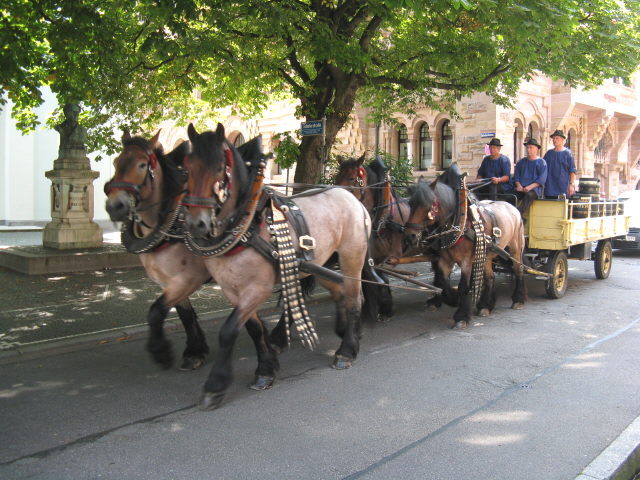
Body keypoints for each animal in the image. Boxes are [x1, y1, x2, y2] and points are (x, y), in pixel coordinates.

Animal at [104, 131, 211, 371]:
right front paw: (195, 351)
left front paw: (161, 351)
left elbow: (155, 311)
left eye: (142, 165)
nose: (115, 206)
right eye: (115, 162)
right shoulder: (170, 280)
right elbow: (185, 314)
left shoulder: (190, 278)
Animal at [182, 123, 372, 410]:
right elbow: (253, 328)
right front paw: (266, 369)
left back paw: (346, 351)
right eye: (187, 167)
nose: (197, 223)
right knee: (343, 294)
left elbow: (228, 331)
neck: (248, 223)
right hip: (323, 264)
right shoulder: (232, 290)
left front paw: (216, 385)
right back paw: (349, 334)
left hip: (352, 257)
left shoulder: (257, 289)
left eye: (219, 168)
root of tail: (353, 200)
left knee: (353, 299)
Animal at [335, 155, 411, 320]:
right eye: (336, 177)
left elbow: (378, 278)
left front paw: (385, 306)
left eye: (351, 178)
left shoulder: (387, 256)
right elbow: (367, 278)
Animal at [404, 166, 526, 329]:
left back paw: (518, 299)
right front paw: (452, 299)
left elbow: (463, 287)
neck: (458, 222)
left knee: (518, 270)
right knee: (490, 277)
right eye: (411, 203)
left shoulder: (466, 261)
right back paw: (485, 306)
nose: (410, 235)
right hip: (487, 254)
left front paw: (461, 316)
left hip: (515, 248)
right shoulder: (444, 260)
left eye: (428, 205)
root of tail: (512, 207)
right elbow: (442, 282)